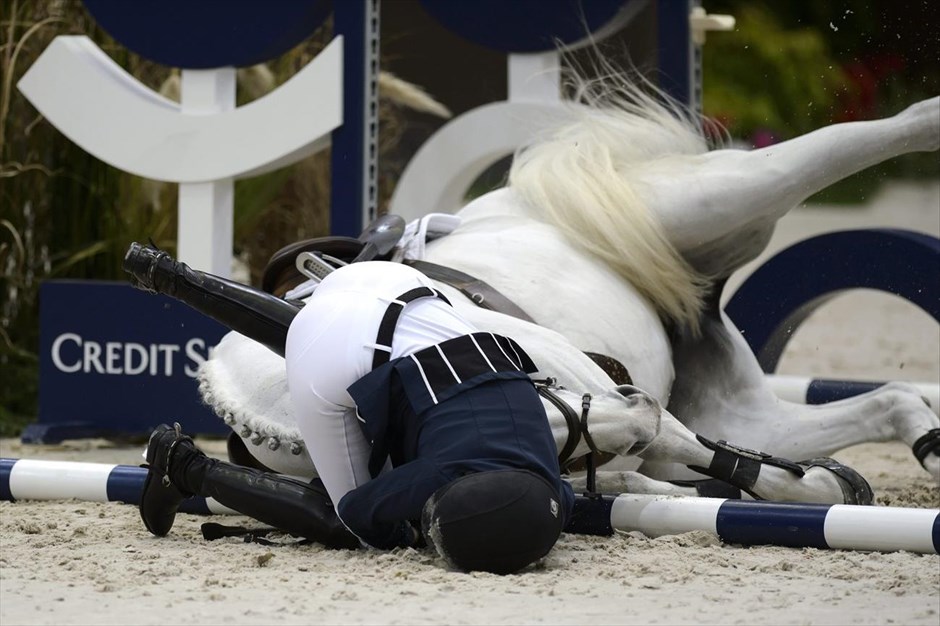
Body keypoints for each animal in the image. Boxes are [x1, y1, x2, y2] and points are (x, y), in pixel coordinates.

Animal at [200, 73, 940, 502]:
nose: (636, 412)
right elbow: (667, 457)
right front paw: (814, 486)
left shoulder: (570, 363)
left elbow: (672, 444)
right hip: (737, 403)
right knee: (886, 403)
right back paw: (909, 449)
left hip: (717, 205)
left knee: (871, 134)